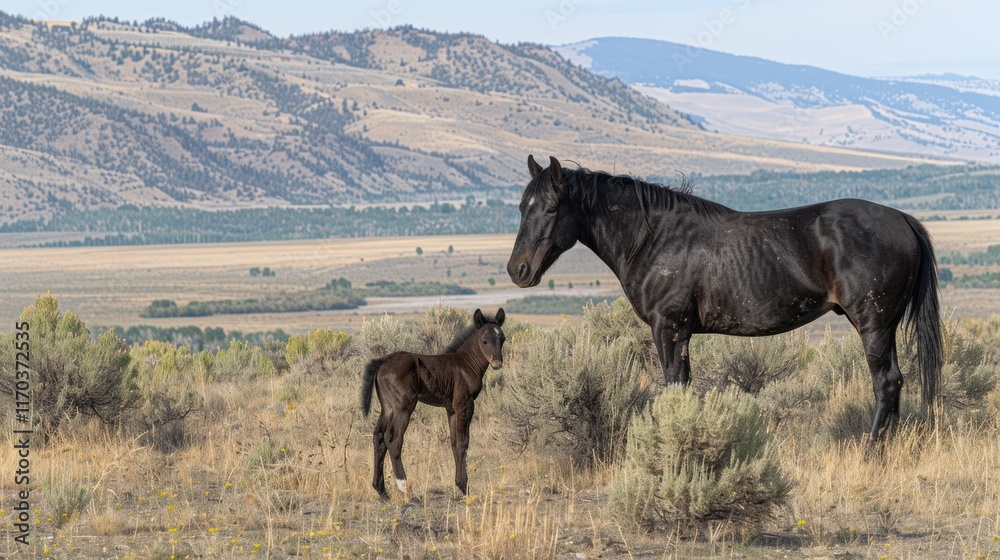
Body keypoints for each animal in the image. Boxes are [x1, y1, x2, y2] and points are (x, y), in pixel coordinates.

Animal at [360, 308, 506, 499]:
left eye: (502, 339)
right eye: (484, 340)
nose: (497, 363)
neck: (466, 363)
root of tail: (382, 361)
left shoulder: (451, 409)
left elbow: (454, 442)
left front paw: (459, 484)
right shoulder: (465, 404)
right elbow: (463, 442)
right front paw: (465, 487)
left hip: (388, 408)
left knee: (378, 437)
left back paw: (381, 491)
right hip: (403, 407)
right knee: (393, 439)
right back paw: (403, 485)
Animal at [506, 155, 942, 439]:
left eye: (550, 209)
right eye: (521, 207)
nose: (517, 270)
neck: (653, 238)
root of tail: (904, 219)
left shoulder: (670, 328)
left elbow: (674, 385)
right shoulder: (677, 332)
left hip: (872, 323)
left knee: (884, 382)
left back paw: (872, 448)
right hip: (883, 326)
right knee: (896, 382)